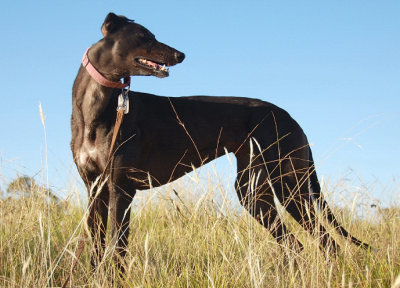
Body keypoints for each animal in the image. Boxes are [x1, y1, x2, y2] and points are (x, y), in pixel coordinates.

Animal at [70, 12, 370, 272]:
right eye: (143, 36)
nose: (180, 55)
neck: (98, 109)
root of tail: (291, 118)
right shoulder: (95, 189)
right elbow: (97, 247)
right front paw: (94, 277)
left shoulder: (121, 189)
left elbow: (117, 247)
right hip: (255, 191)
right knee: (295, 244)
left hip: (289, 185)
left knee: (326, 241)